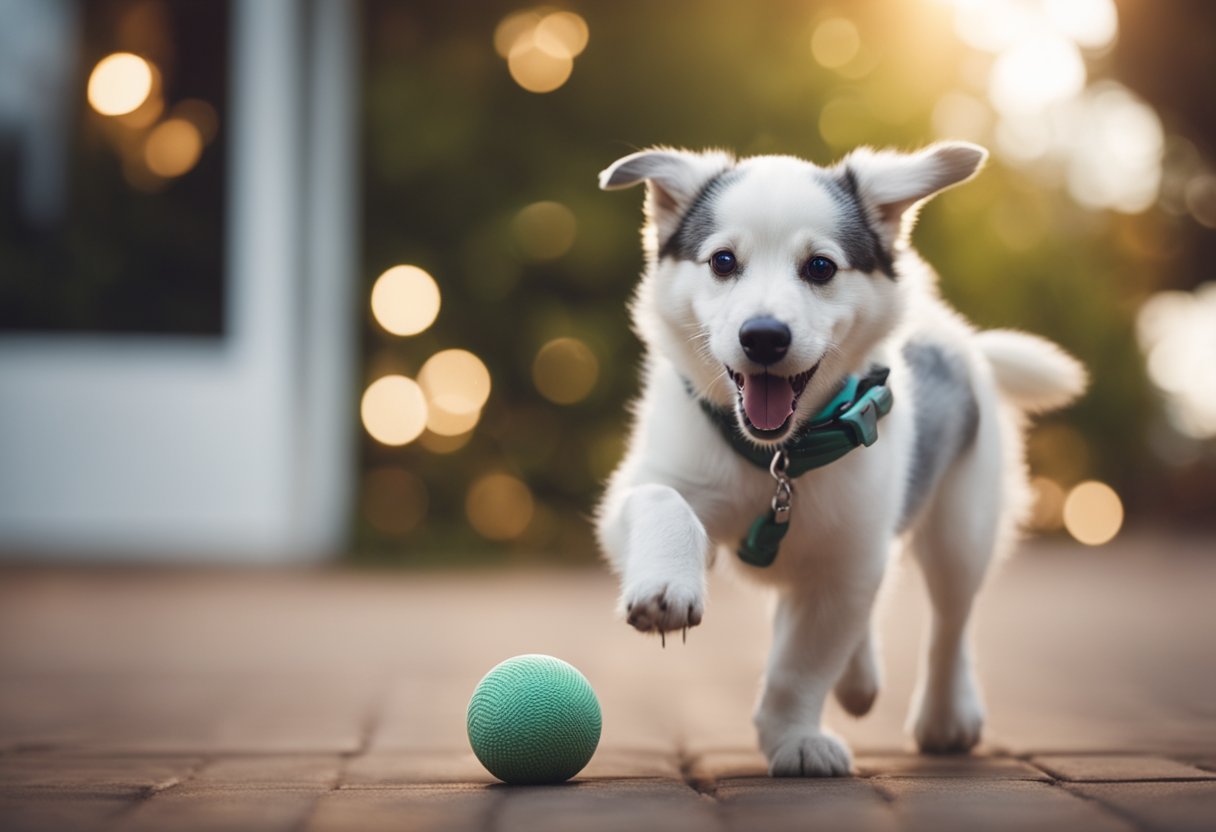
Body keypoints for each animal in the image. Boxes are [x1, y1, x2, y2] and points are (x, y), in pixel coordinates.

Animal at [593, 141, 1089, 773]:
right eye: (723, 262)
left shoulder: (849, 564)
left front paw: (795, 737)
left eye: (821, 268)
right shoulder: (644, 485)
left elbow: (801, 666)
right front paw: (666, 585)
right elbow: (661, 501)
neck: (776, 457)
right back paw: (861, 677)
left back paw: (946, 714)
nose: (763, 337)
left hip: (963, 526)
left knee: (950, 622)